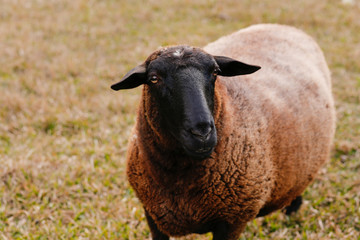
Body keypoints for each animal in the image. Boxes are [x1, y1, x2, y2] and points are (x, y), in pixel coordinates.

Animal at [111, 23, 336, 239]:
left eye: (215, 72)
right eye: (154, 78)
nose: (202, 133)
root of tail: (286, 27)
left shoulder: (232, 220)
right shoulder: (152, 215)